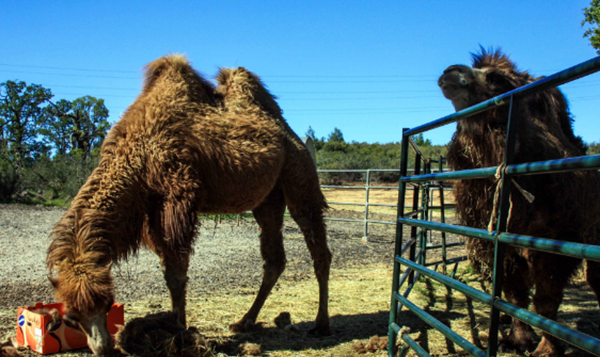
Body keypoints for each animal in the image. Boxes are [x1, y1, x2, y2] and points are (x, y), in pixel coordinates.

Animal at [45, 54, 332, 354]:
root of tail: (294, 135)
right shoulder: (152, 213)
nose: (103, 348)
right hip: (268, 200)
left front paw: (179, 329)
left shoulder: (177, 198)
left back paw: (321, 325)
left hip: (299, 174)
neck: (137, 158)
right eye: (71, 317)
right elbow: (168, 271)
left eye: (108, 303)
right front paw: (176, 326)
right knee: (274, 258)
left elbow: (176, 273)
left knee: (318, 246)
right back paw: (244, 321)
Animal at [436, 47, 600, 356]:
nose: (450, 71)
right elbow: (514, 293)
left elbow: (546, 300)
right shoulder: (499, 241)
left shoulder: (557, 240)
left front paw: (547, 348)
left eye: (497, 78)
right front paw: (517, 339)